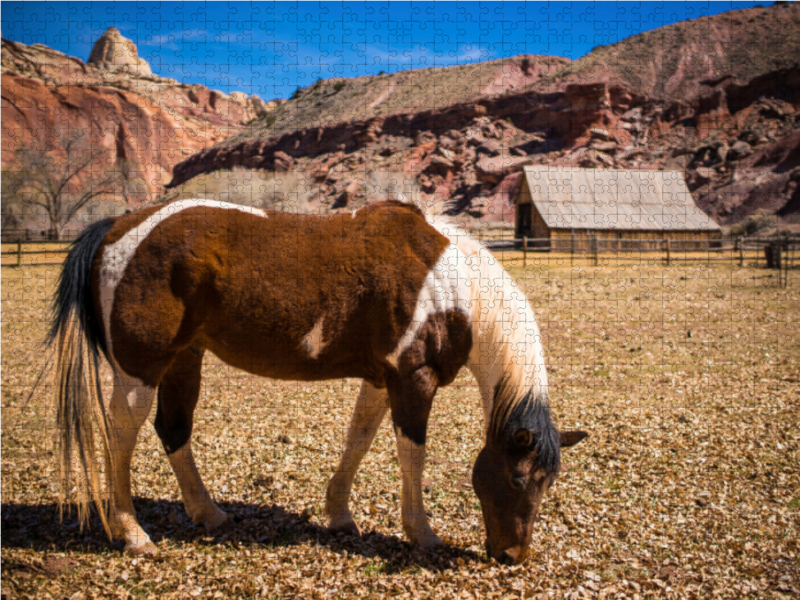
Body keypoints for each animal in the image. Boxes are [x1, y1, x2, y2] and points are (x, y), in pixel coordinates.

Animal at [48, 199, 588, 564]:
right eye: (519, 478)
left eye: (549, 482)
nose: (512, 556)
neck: (453, 288)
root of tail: (118, 225)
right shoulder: (414, 381)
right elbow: (411, 455)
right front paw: (421, 533)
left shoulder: (383, 378)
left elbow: (359, 440)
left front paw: (340, 515)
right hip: (141, 370)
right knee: (122, 434)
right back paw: (132, 532)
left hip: (184, 360)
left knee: (173, 429)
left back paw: (208, 513)